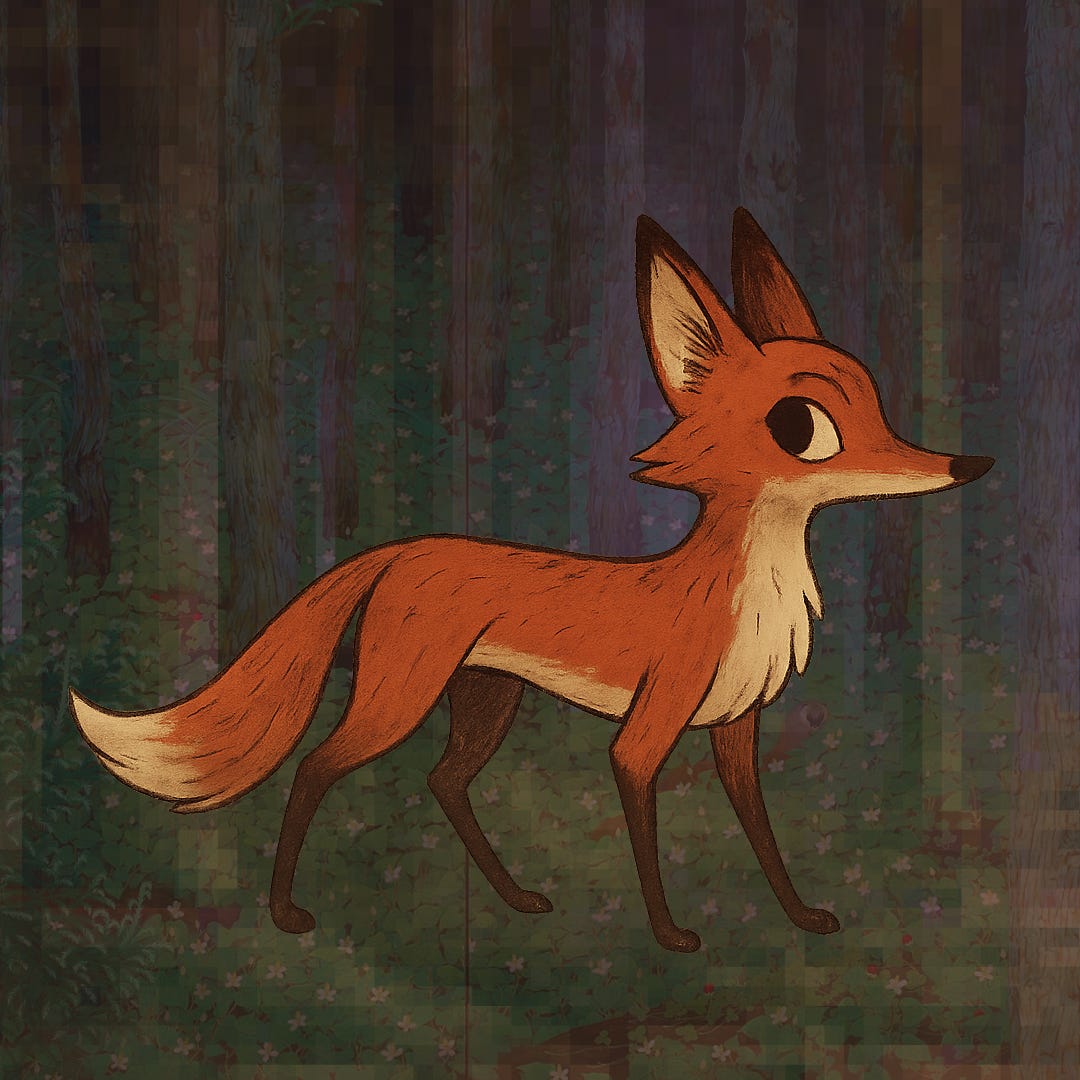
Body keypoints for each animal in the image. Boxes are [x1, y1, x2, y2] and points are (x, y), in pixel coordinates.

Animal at [71, 208, 993, 953]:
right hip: (400, 699)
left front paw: (800, 918)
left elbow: (764, 834)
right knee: (316, 767)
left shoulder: (737, 730)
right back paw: (287, 912)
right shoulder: (645, 734)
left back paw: (512, 899)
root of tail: (401, 549)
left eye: (879, 407)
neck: (744, 589)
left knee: (443, 782)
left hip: (486, 701)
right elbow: (646, 828)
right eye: (802, 428)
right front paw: (669, 936)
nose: (967, 465)